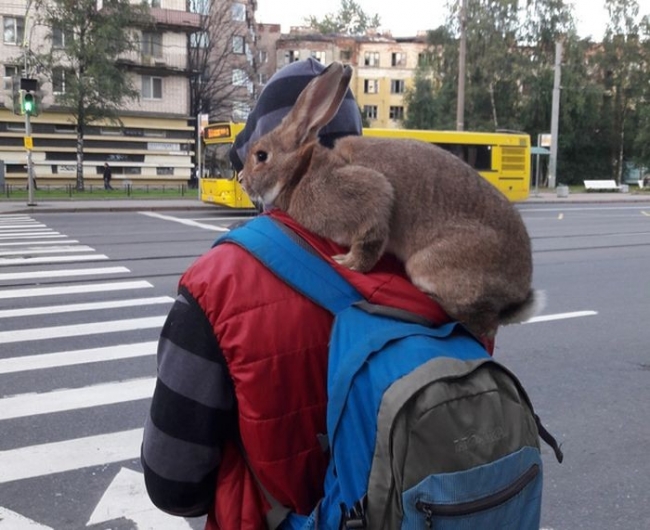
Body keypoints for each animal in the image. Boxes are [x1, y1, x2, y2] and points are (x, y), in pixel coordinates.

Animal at [239, 62, 540, 334]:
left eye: (261, 156)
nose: (241, 179)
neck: (302, 170)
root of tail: (520, 288)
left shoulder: (371, 193)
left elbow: (371, 234)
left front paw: (347, 263)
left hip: (429, 264)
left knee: (482, 322)